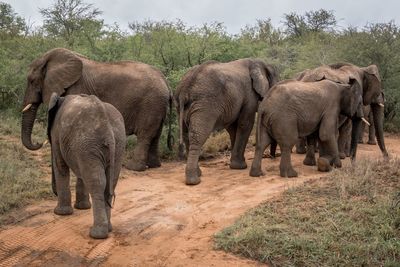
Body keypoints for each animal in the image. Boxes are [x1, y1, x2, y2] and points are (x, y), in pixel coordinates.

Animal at [21, 47, 172, 173]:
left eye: (32, 81)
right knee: (156, 134)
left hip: (150, 104)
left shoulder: (76, 89)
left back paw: (133, 168)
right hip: (158, 105)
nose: (38, 143)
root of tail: (165, 81)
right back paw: (153, 165)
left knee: (145, 135)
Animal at [48, 93, 126, 240]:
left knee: (97, 182)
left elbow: (60, 165)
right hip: (116, 145)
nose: (54, 193)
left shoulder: (57, 134)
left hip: (89, 143)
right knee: (110, 182)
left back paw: (97, 234)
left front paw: (61, 213)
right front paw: (81, 207)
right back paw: (108, 229)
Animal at [175, 58, 278, 186]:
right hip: (205, 105)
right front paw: (240, 166)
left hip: (182, 108)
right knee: (198, 136)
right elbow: (245, 124)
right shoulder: (249, 94)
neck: (257, 62)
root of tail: (185, 88)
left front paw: (236, 164)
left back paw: (198, 174)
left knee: (186, 136)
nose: (272, 157)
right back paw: (194, 181)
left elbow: (233, 128)